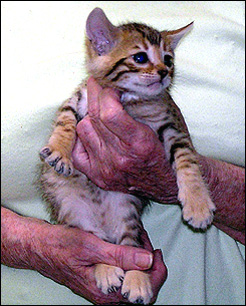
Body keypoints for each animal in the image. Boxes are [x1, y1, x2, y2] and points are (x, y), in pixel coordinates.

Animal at [38, 7, 215, 304]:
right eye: (140, 57)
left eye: (168, 59)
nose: (164, 72)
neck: (129, 100)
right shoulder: (77, 101)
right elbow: (65, 122)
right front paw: (60, 152)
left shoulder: (172, 125)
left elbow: (187, 160)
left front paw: (198, 203)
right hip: (72, 209)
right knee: (94, 244)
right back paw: (108, 270)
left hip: (126, 208)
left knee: (129, 244)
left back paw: (137, 279)